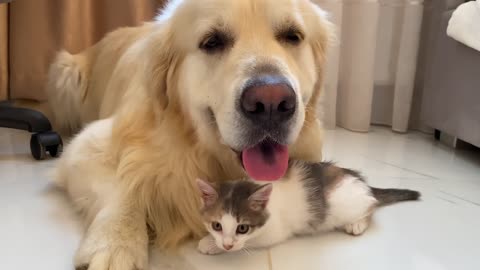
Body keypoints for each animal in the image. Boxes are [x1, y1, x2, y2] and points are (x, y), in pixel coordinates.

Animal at [195, 161, 420, 254]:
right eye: (216, 225)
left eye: (242, 228)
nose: (227, 245)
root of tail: (359, 181)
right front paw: (213, 242)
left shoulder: (275, 232)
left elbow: (251, 242)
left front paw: (209, 245)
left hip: (348, 205)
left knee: (371, 205)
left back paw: (357, 224)